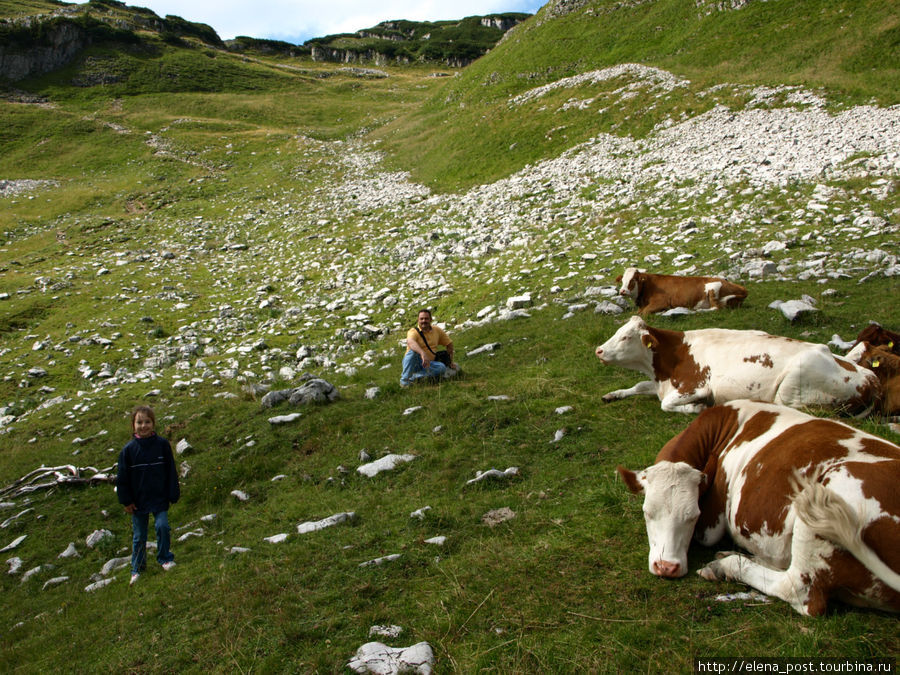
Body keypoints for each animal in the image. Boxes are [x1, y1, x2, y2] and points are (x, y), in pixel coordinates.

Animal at [596, 318, 876, 418]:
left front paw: (698, 408)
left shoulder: (695, 386)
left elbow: (666, 404)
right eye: (617, 332)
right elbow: (638, 386)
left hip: (792, 385)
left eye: (625, 337)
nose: (598, 350)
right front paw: (612, 394)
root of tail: (870, 378)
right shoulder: (659, 383)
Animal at [616, 266, 748, 316]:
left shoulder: (661, 302)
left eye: (633, 280)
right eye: (622, 280)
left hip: (713, 288)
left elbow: (643, 313)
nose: (622, 291)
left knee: (716, 308)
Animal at [620, 402, 900, 616]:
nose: (666, 566)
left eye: (693, 516)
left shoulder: (711, 525)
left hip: (821, 505)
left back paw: (727, 565)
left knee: (796, 589)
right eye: (647, 513)